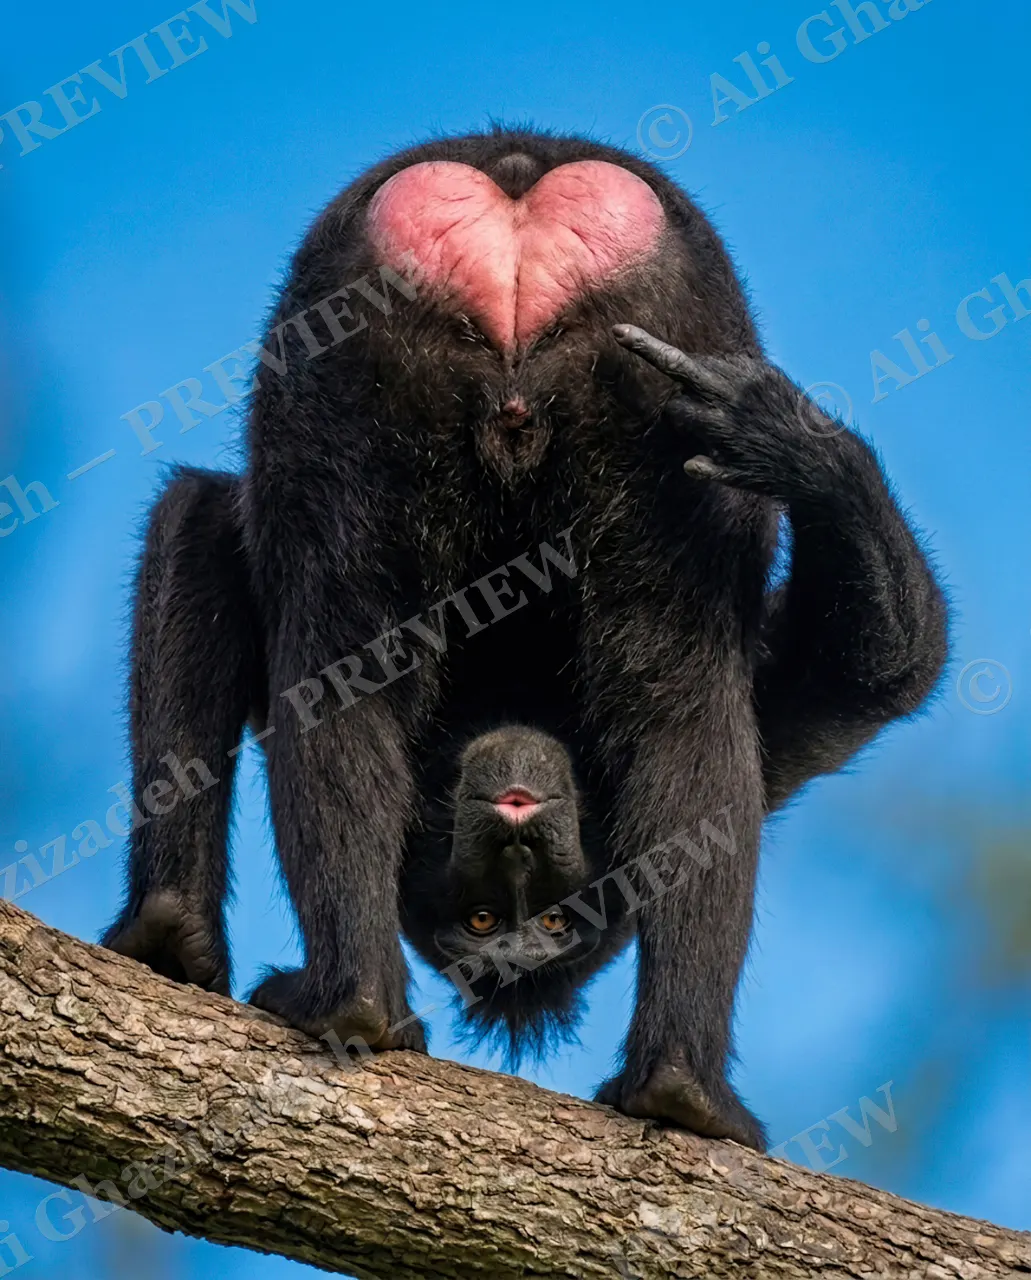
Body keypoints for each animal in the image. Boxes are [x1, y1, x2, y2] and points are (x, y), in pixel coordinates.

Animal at [102, 127, 948, 1150]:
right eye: (478, 923)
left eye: (548, 925)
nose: (515, 841)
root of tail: (517, 190)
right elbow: (883, 669)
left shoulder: (789, 731)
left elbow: (881, 667)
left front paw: (794, 446)